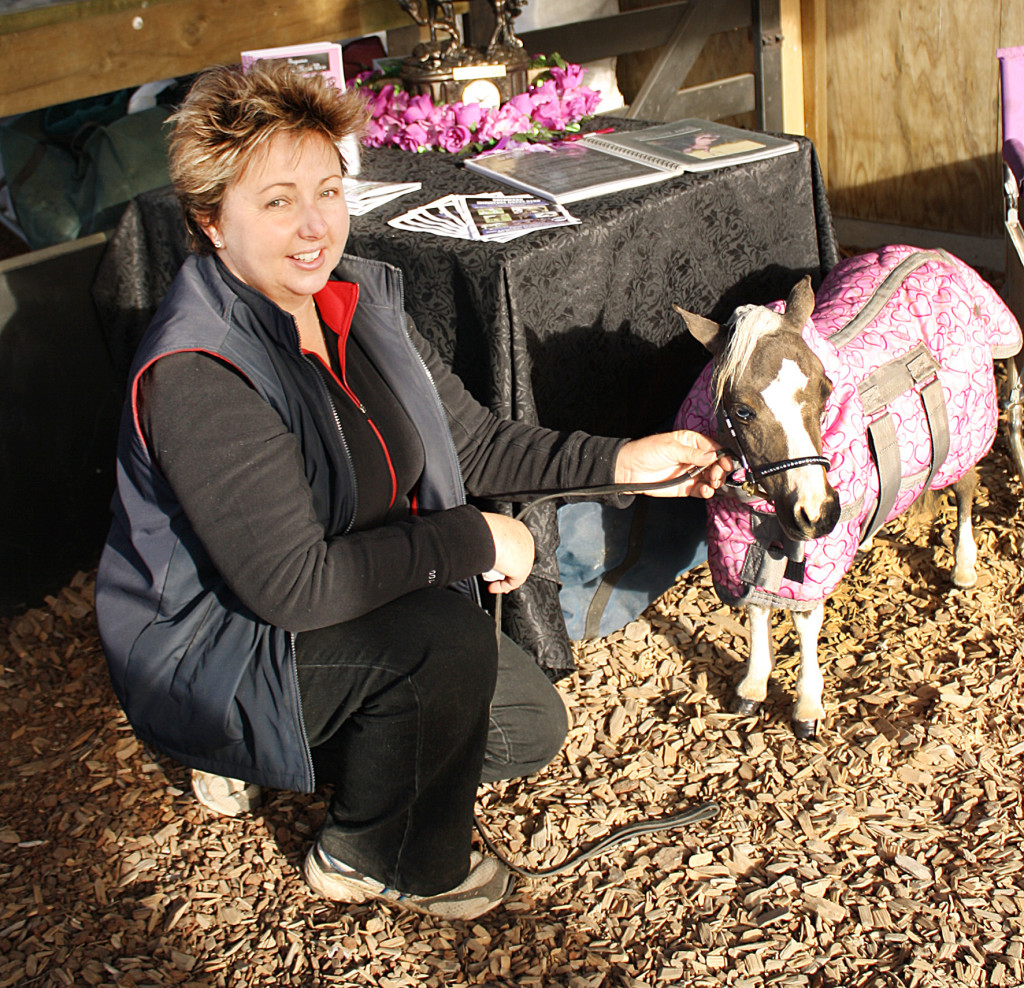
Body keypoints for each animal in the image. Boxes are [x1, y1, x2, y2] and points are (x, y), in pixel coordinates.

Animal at [675, 242, 1019, 737]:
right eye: (741, 410)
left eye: (825, 389)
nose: (818, 512)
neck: (766, 501)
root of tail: (935, 253)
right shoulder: (734, 532)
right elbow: (757, 605)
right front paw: (753, 686)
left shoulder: (815, 549)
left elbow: (804, 617)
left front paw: (807, 706)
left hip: (966, 426)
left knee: (968, 487)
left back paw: (964, 566)